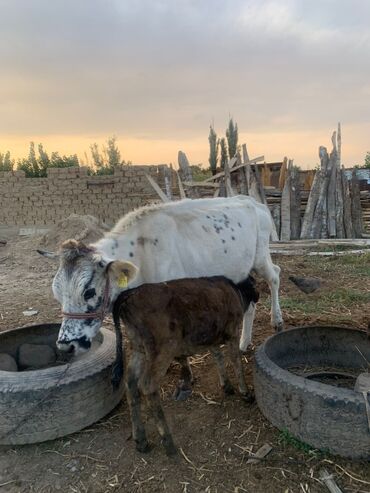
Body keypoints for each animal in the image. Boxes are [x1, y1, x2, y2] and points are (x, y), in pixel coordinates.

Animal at [112, 274, 260, 456]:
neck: (234, 290)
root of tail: (129, 294)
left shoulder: (212, 336)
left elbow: (218, 356)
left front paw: (227, 386)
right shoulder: (232, 333)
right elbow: (236, 361)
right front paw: (246, 393)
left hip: (138, 348)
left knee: (130, 383)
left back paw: (140, 440)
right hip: (162, 350)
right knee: (147, 386)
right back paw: (168, 442)